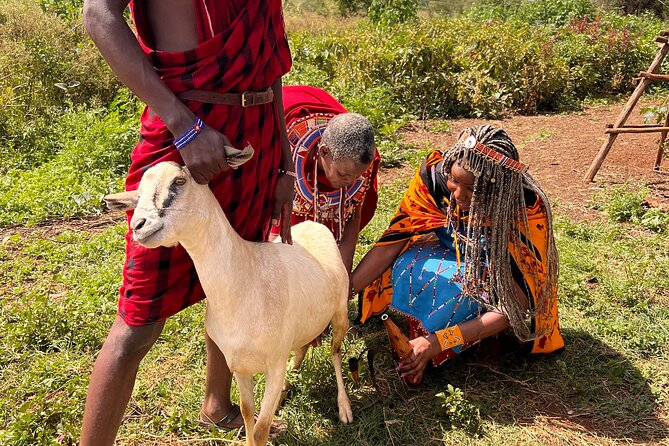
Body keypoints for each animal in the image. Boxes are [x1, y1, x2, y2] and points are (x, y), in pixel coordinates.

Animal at [105, 161, 353, 446]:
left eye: (179, 181)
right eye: (138, 193)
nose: (139, 225)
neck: (247, 278)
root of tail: (314, 222)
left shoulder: (273, 364)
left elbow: (261, 428)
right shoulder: (240, 366)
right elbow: (247, 414)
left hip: (340, 314)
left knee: (336, 352)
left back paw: (344, 408)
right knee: (303, 346)